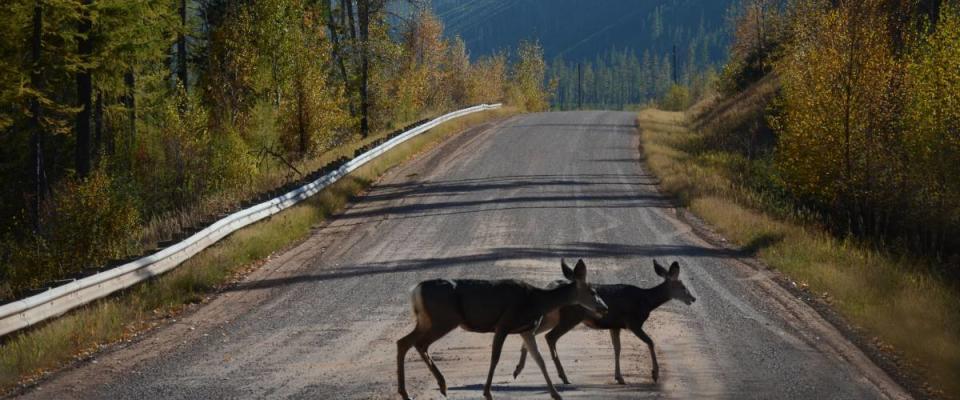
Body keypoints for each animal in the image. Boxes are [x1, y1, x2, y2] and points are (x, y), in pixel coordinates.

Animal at [396, 258, 608, 398]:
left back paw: (412, 391)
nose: (604, 307)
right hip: (444, 319)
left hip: (427, 320)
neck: (536, 301)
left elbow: (539, 360)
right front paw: (487, 392)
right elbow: (495, 357)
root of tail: (415, 291)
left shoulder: (525, 330)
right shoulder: (504, 323)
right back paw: (439, 386)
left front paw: (555, 394)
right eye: (593, 291)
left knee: (404, 342)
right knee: (419, 344)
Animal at [512, 260, 692, 384]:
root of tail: (551, 285)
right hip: (571, 316)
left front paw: (619, 377)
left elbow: (617, 349)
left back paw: (518, 370)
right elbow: (650, 342)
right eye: (683, 287)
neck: (646, 301)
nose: (693, 298)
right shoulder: (632, 322)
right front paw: (654, 374)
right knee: (550, 337)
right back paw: (563, 376)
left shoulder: (615, 326)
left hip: (552, 316)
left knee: (532, 333)